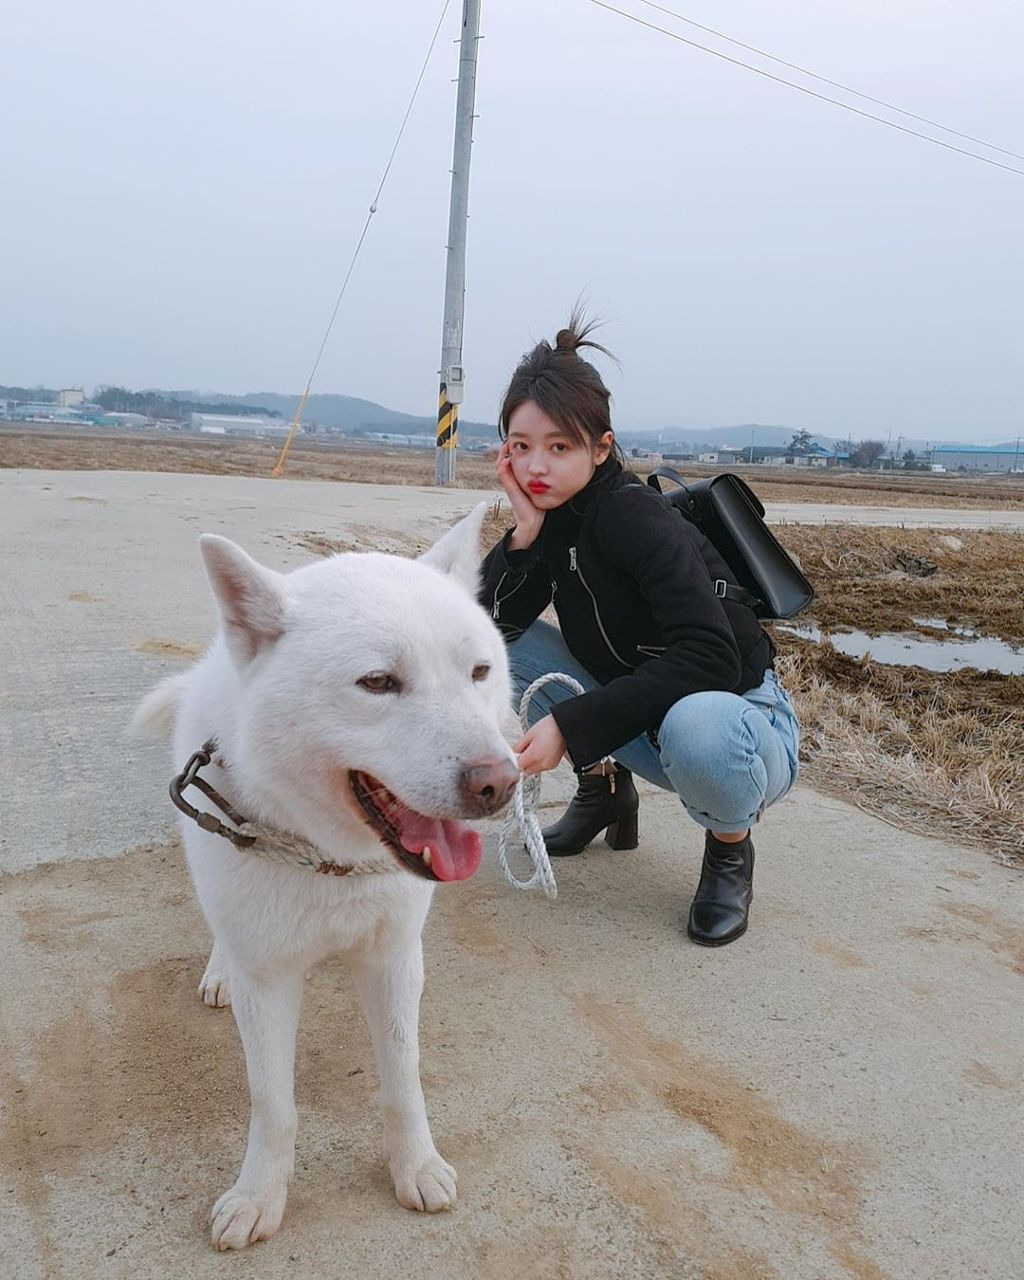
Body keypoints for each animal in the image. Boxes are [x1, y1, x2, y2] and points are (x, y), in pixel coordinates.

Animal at [133, 506, 519, 1249]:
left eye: (480, 671)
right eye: (378, 683)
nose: (500, 785)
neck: (330, 859)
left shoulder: (394, 961)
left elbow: (402, 1080)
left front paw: (415, 1165)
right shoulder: (268, 981)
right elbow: (273, 1103)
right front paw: (259, 1195)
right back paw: (219, 969)